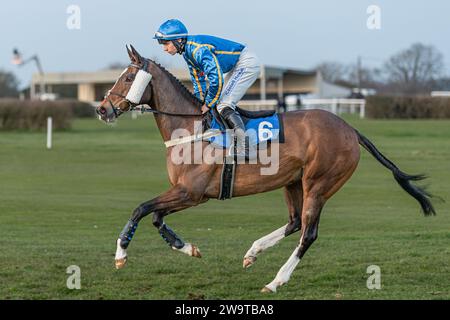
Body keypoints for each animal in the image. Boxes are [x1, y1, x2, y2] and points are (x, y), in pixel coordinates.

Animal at [96, 45, 436, 292]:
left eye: (128, 78)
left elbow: (141, 209)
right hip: (293, 182)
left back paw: (276, 281)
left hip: (319, 184)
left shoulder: (192, 193)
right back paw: (253, 252)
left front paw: (120, 254)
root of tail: (351, 129)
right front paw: (187, 247)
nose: (102, 109)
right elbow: (155, 216)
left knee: (308, 233)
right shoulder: (183, 193)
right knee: (295, 222)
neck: (190, 128)